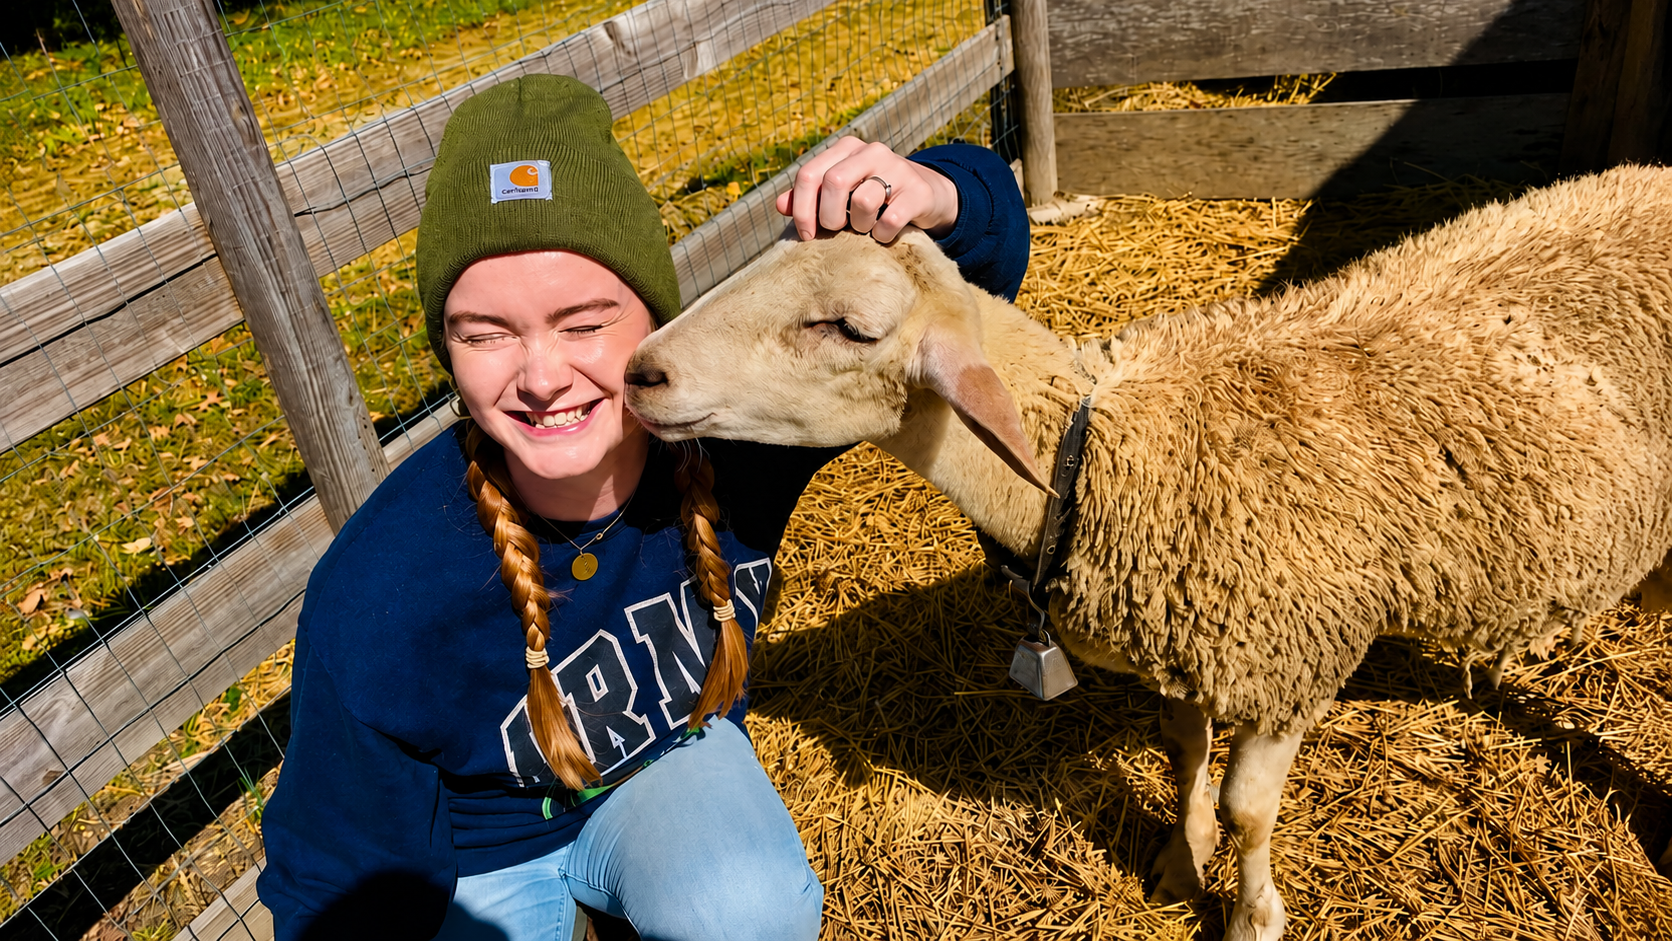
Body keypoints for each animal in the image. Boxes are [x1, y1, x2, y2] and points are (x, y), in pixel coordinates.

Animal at [624, 164, 1672, 941]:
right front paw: (1178, 858)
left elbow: (1251, 810)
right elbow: (1181, 750)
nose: (642, 371)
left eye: (846, 327)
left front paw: (1250, 912)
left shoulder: (1290, 654)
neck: (1103, 446)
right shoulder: (1187, 637)